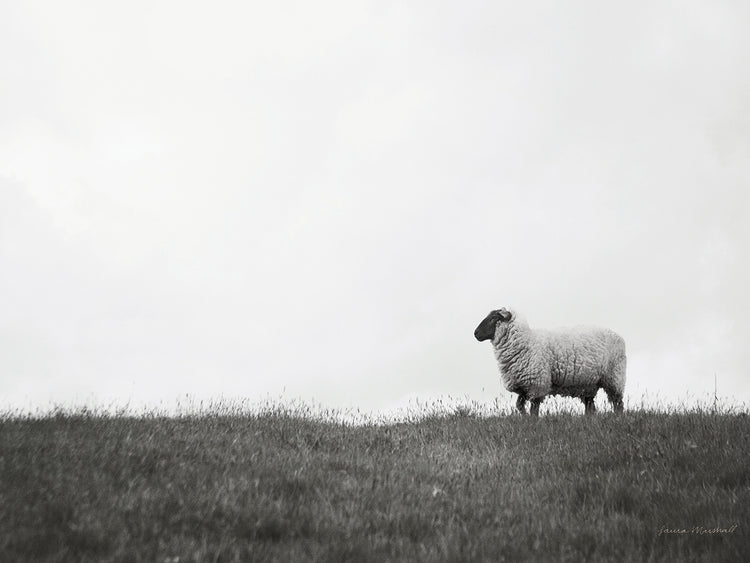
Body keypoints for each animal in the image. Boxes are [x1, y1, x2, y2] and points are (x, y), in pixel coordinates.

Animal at [474, 308, 626, 415]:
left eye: (494, 318)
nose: (475, 333)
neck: (527, 342)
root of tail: (619, 336)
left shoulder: (538, 384)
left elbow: (534, 410)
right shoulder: (524, 386)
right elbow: (519, 406)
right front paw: (524, 418)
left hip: (614, 377)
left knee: (618, 403)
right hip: (588, 384)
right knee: (590, 408)